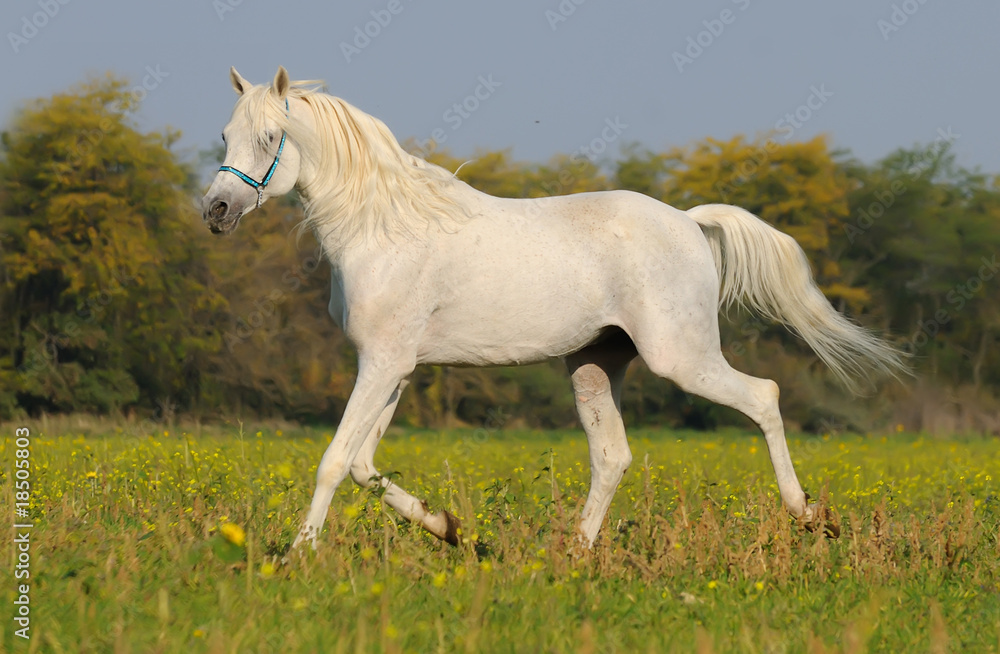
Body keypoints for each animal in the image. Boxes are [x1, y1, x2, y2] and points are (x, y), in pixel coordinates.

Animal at [203, 66, 908, 552]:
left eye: (270, 137)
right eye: (225, 134)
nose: (216, 211)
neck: (383, 230)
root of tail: (688, 220)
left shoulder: (381, 364)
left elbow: (333, 462)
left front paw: (299, 555)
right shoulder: (395, 368)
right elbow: (362, 465)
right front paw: (450, 529)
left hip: (681, 358)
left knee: (763, 397)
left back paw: (808, 514)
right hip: (594, 367)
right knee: (613, 456)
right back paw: (574, 552)